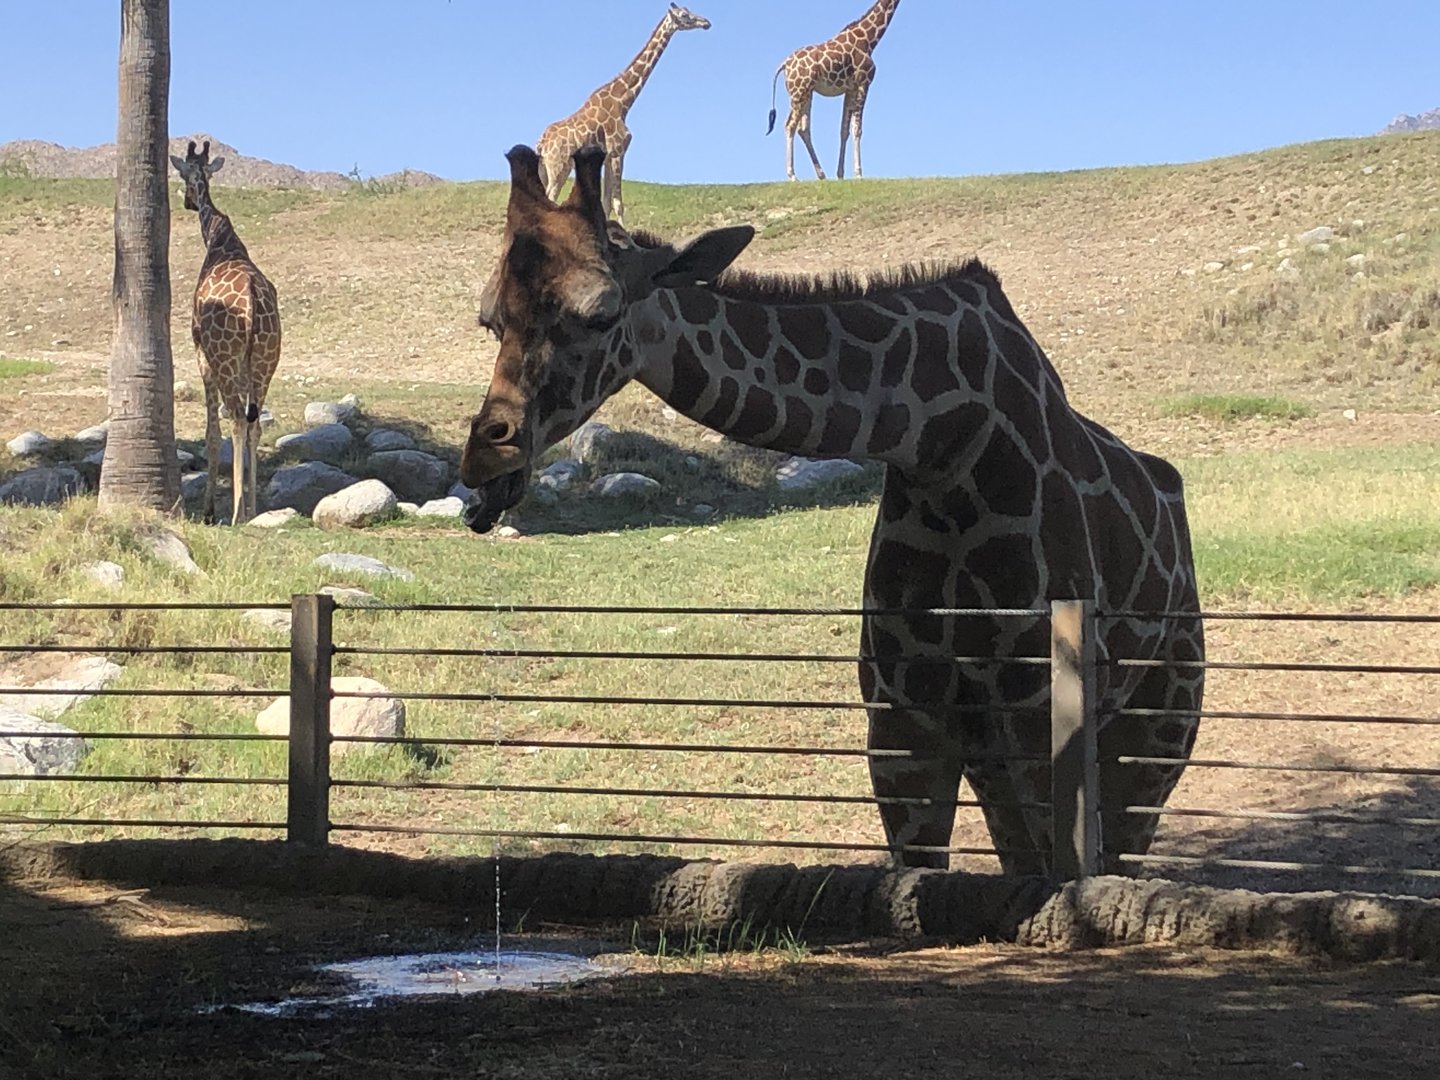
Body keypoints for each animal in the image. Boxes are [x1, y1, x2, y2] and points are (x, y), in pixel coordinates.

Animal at [170, 139, 281, 525]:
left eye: (183, 174)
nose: (188, 202)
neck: (218, 239)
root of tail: (251, 301)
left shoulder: (200, 350)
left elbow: (211, 430)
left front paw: (209, 509)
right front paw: (246, 504)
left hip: (224, 356)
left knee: (234, 418)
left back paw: (234, 514)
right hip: (265, 360)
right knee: (253, 421)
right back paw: (253, 508)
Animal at [461, 145, 1206, 876]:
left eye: (601, 314)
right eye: (490, 319)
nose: (486, 462)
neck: (944, 446)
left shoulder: (1039, 715)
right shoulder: (905, 722)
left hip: (1159, 722)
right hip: (1004, 754)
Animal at [535, 3, 711, 225]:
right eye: (685, 15)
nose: (706, 23)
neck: (623, 103)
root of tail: (541, 144)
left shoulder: (608, 158)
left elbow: (606, 203)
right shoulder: (618, 151)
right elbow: (618, 203)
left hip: (545, 169)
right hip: (559, 166)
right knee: (549, 199)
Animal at [766, 0, 901, 181]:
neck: (869, 39)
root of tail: (785, 65)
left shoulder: (850, 89)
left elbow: (844, 130)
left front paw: (841, 175)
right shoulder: (863, 83)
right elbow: (857, 129)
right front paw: (859, 174)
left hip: (806, 93)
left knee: (803, 129)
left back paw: (821, 174)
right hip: (799, 92)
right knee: (790, 126)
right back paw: (793, 175)